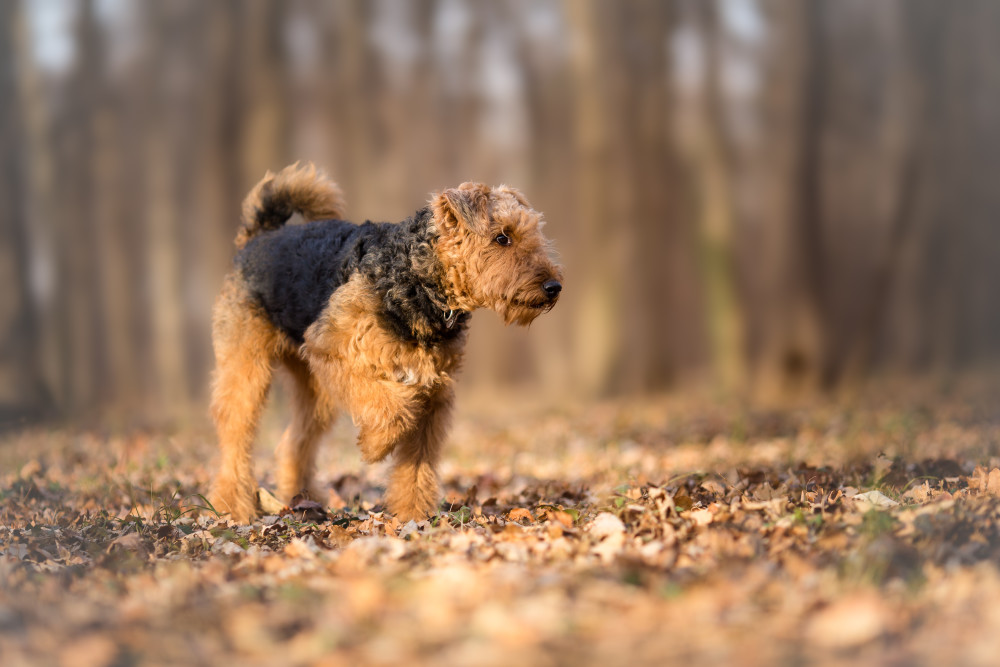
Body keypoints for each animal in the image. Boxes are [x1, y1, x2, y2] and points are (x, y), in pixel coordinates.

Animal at [210, 164, 564, 524]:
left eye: (533, 232)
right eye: (502, 237)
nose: (554, 287)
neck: (420, 281)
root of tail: (259, 235)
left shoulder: (434, 393)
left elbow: (416, 465)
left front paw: (413, 515)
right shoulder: (333, 349)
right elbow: (393, 411)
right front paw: (373, 446)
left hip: (315, 388)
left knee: (295, 441)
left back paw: (303, 498)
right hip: (248, 368)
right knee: (235, 435)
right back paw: (231, 505)